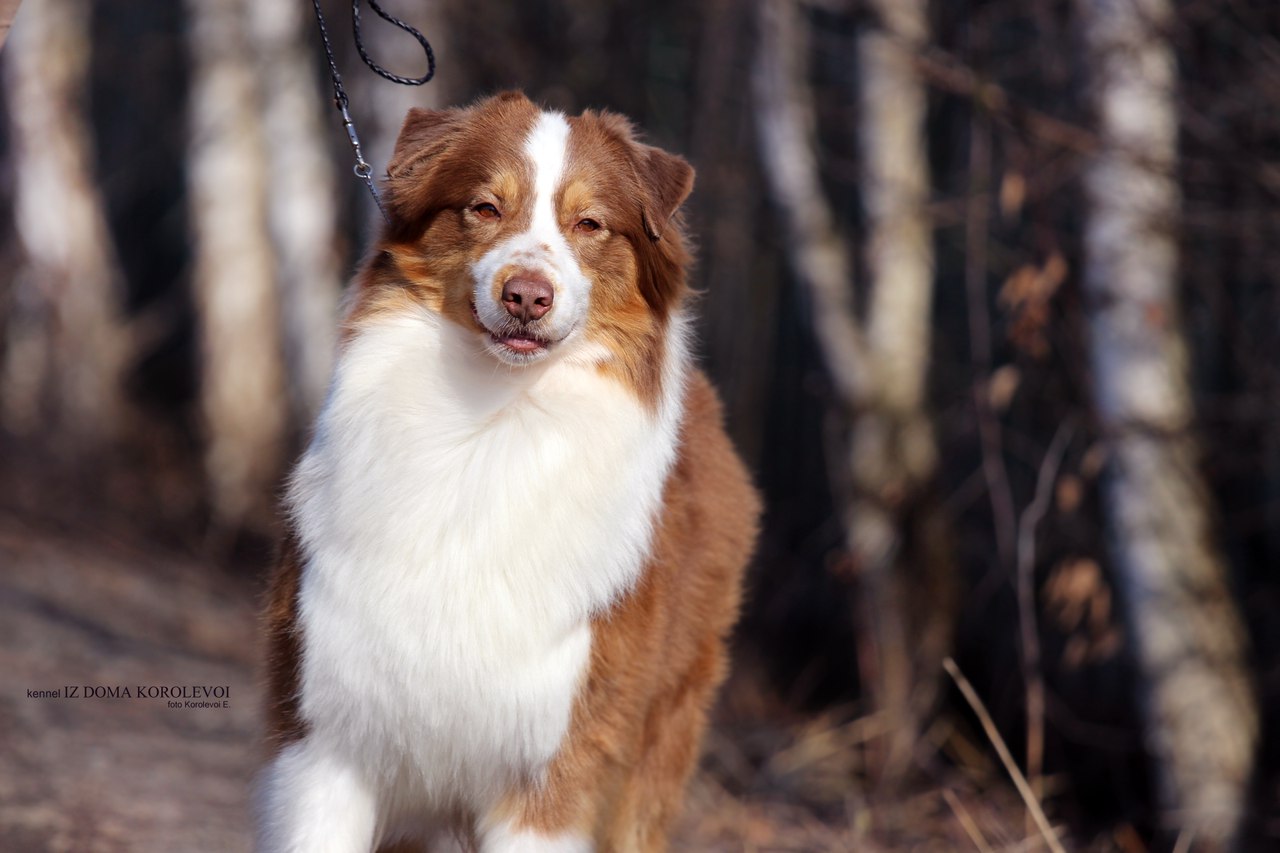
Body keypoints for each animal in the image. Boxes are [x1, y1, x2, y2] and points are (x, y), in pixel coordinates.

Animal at [259, 92, 757, 850]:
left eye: (590, 223)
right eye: (485, 207)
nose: (527, 295)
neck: (489, 425)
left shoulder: (553, 773)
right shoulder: (324, 735)